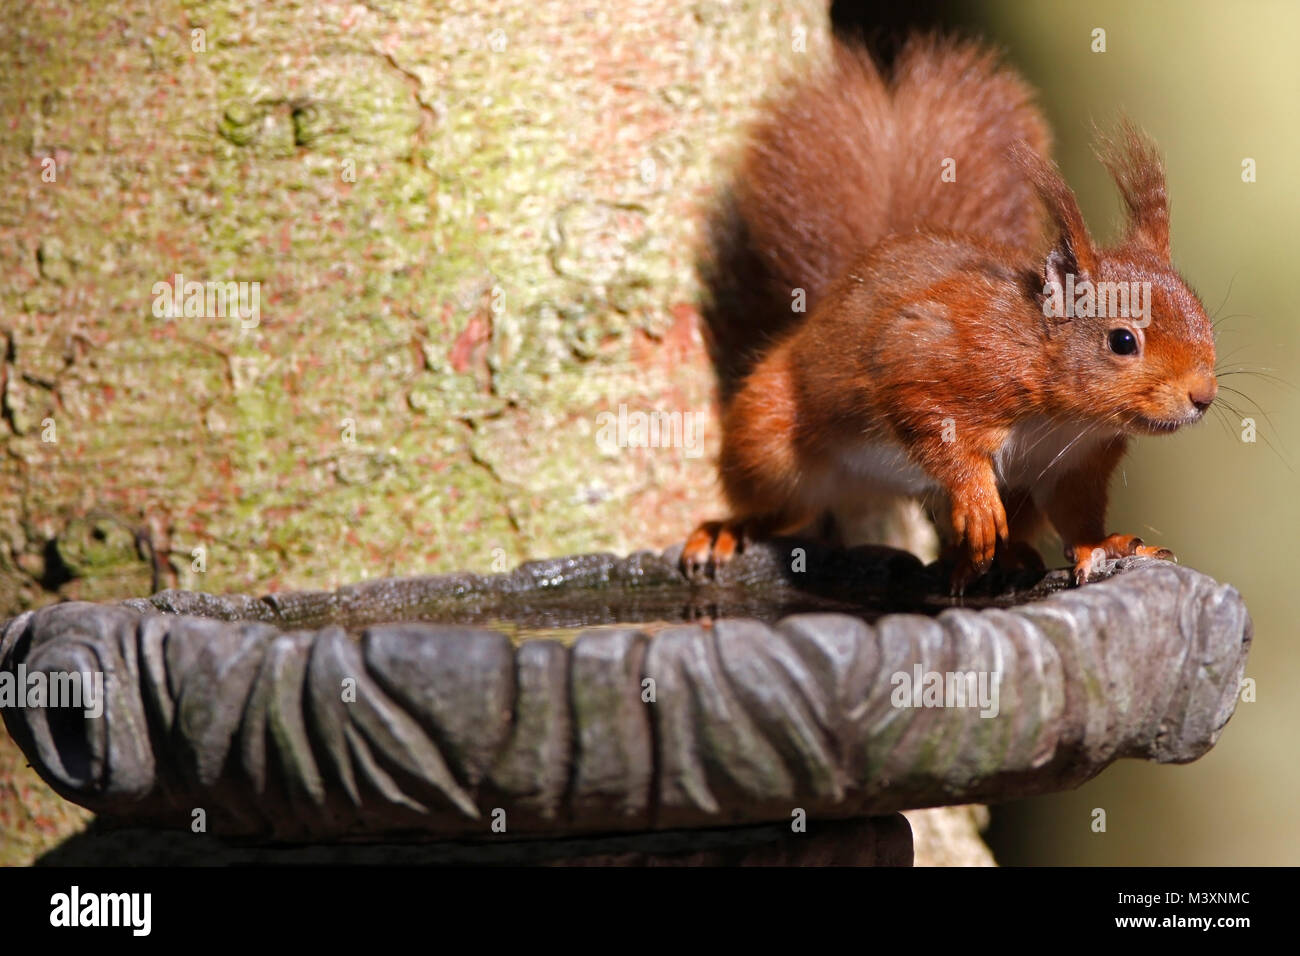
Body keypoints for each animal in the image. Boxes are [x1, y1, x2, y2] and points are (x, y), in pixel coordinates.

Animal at [686, 33, 1211, 590]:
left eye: (1205, 321)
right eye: (1123, 341)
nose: (1203, 397)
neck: (1064, 413)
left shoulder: (1074, 465)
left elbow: (1076, 515)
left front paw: (1102, 544)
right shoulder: (935, 357)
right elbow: (928, 418)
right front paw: (977, 500)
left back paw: (991, 559)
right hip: (770, 438)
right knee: (779, 505)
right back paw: (727, 529)